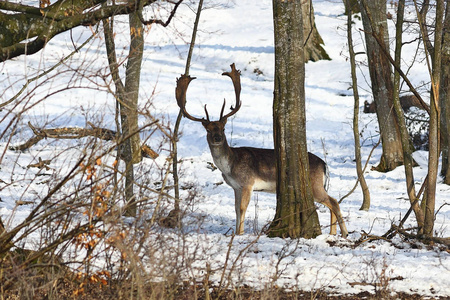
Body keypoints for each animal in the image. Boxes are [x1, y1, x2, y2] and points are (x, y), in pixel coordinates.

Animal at [175, 64, 348, 238]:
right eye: (208, 130)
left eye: (223, 128)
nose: (217, 138)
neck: (229, 166)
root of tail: (324, 164)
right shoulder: (236, 187)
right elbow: (236, 210)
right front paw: (236, 232)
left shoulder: (247, 183)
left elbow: (242, 208)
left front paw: (240, 234)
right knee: (332, 202)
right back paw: (333, 233)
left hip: (315, 184)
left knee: (334, 201)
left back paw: (345, 233)